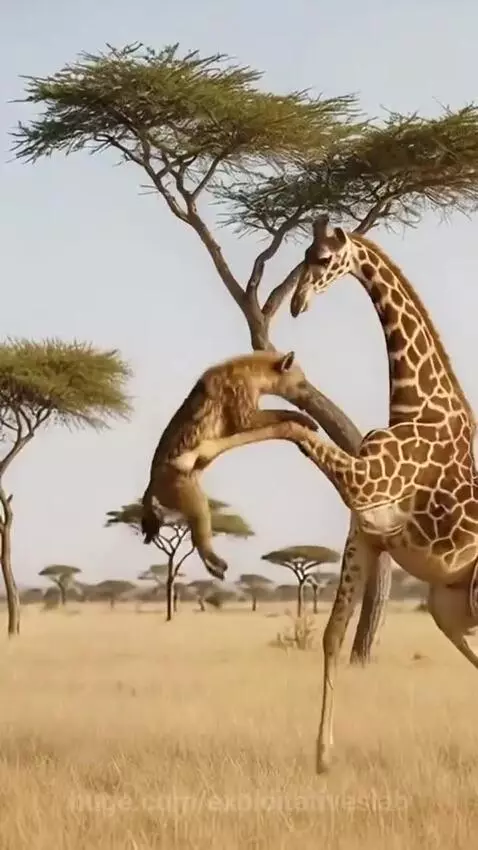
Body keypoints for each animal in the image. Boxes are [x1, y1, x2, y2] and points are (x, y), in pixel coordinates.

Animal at [282, 215, 478, 773]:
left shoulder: (368, 491)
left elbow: (298, 432)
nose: (296, 303)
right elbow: (332, 635)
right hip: (449, 603)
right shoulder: (364, 532)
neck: (417, 404)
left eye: (324, 259)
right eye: (303, 254)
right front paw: (323, 756)